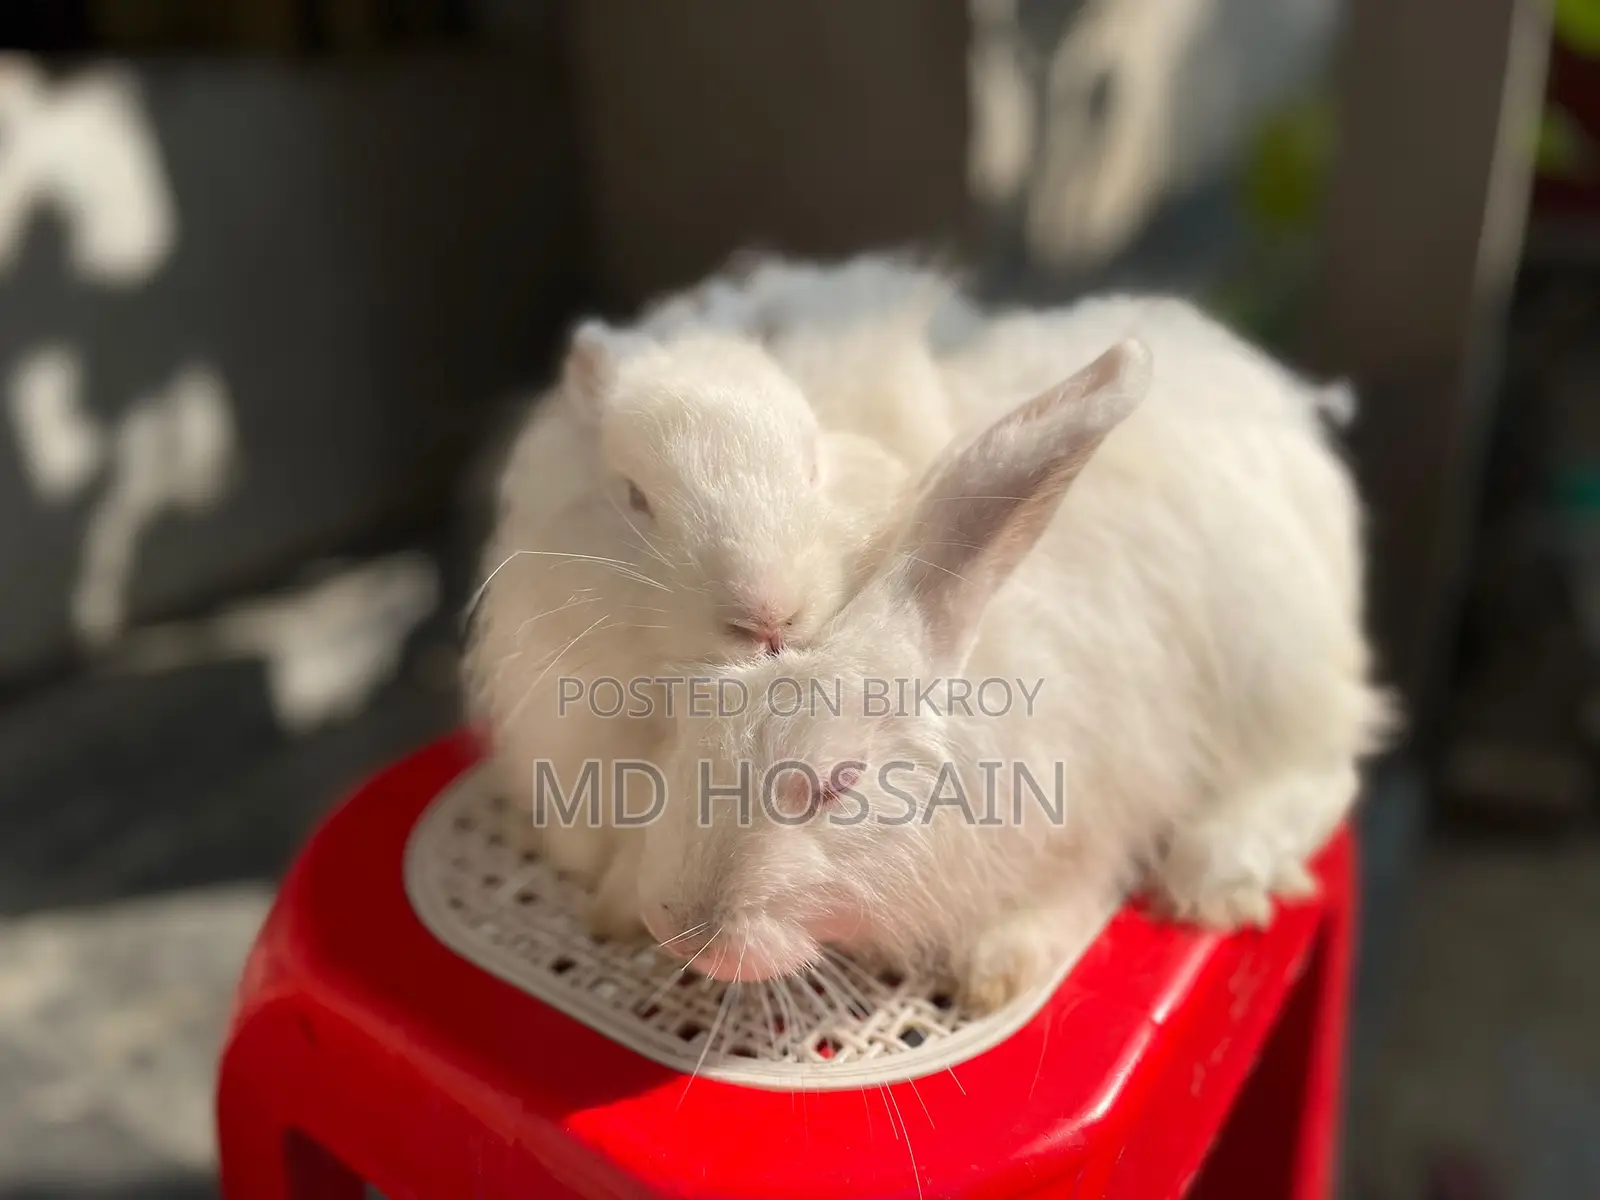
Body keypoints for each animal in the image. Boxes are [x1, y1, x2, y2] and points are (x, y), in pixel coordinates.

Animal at [631, 301, 1392, 1015]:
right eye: (697, 731)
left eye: (838, 784)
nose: (673, 923)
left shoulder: (1104, 806)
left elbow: (1075, 889)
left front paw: (995, 967)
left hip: (1278, 665)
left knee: (1325, 769)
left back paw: (1213, 878)